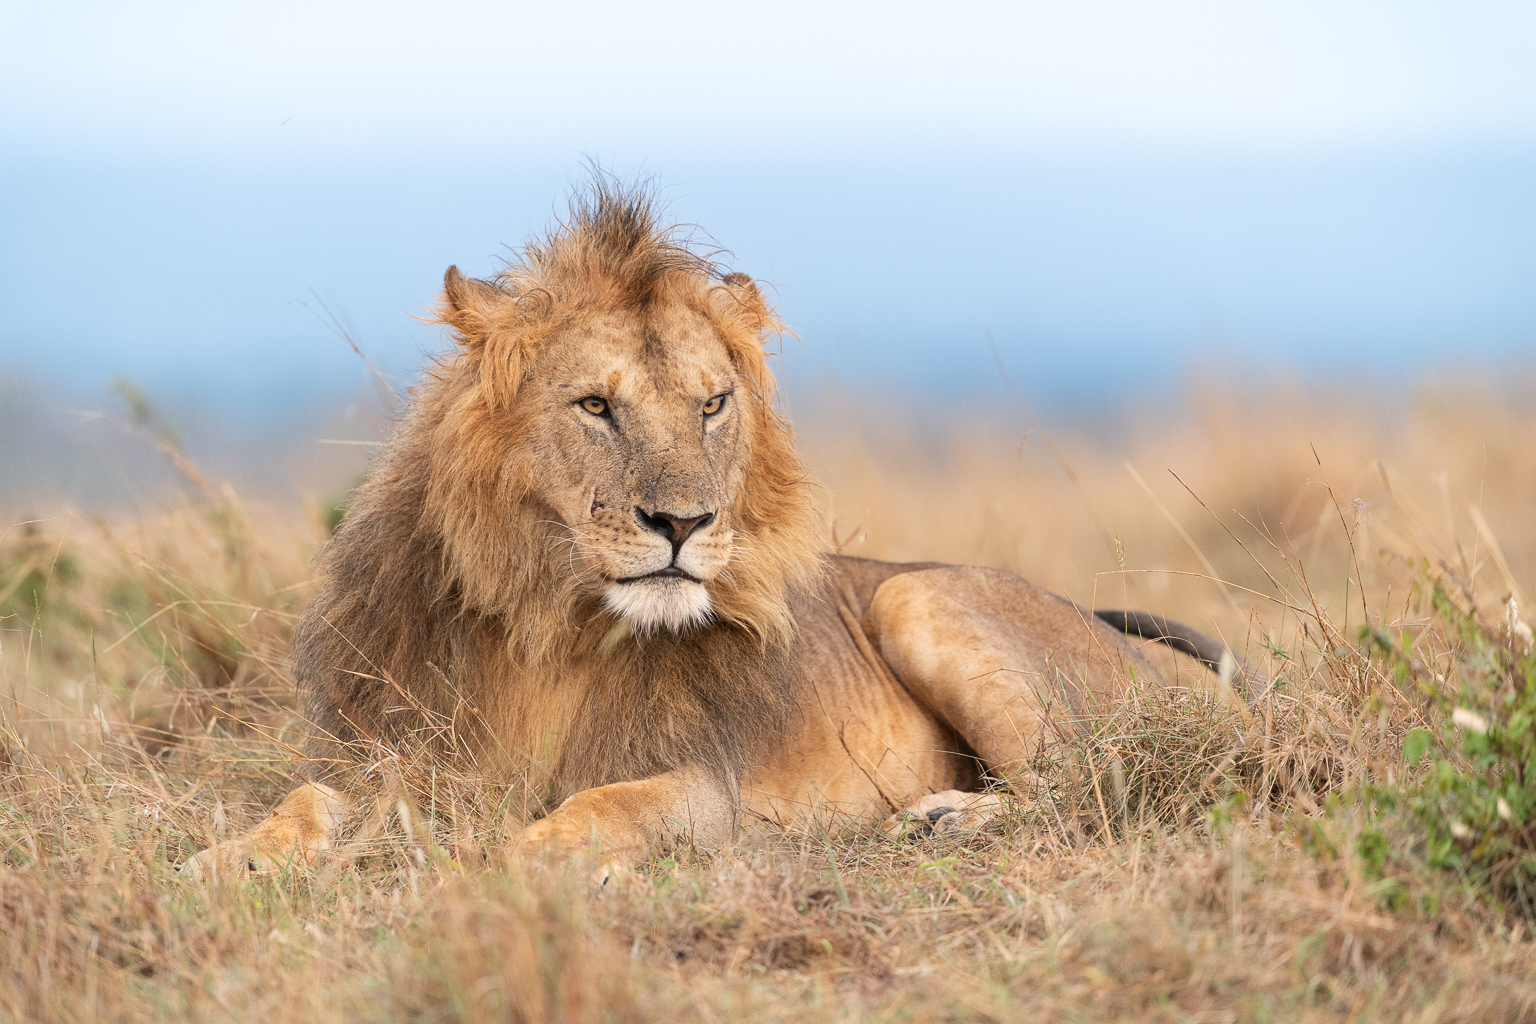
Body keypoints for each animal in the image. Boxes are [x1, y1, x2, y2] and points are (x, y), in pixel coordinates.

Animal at [184, 182, 1249, 879]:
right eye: (595, 406)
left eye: (712, 404)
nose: (683, 522)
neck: (548, 624)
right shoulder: (393, 750)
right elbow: (305, 801)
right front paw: (232, 859)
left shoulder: (713, 787)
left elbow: (613, 801)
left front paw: (536, 850)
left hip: (919, 595)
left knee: (1091, 780)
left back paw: (943, 820)